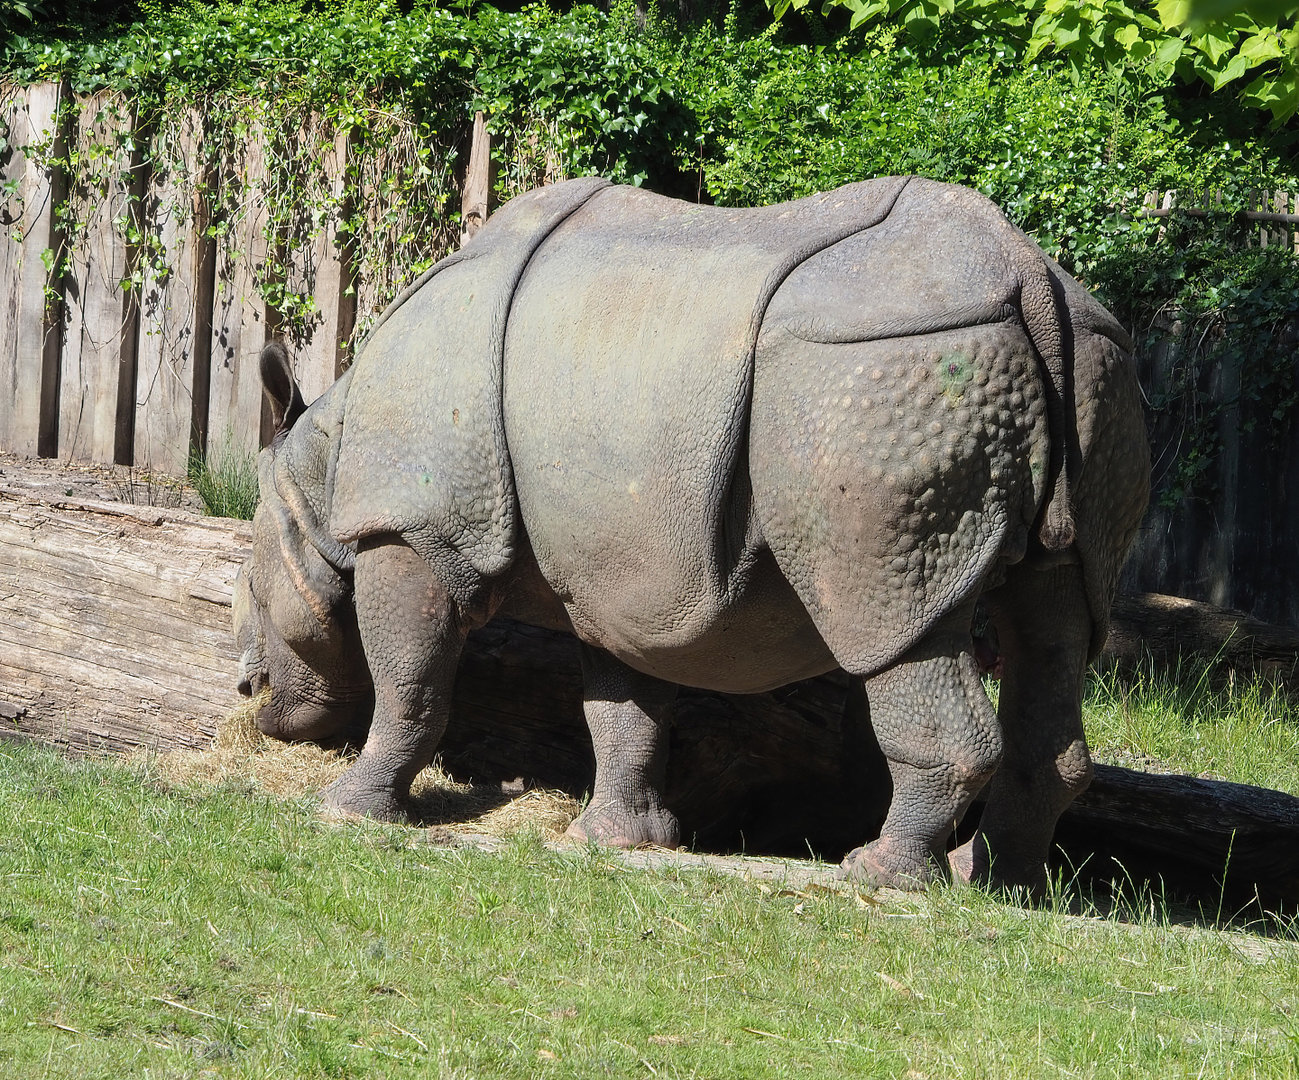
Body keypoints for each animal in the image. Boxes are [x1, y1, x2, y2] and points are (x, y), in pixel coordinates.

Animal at [234, 175, 1148, 892]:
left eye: (246, 586)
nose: (249, 694)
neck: (320, 472)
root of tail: (1029, 277)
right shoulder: (615, 569)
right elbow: (621, 704)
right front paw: (615, 840)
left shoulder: (417, 530)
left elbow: (411, 681)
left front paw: (347, 810)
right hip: (1092, 367)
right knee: (1057, 618)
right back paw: (993, 883)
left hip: (880, 380)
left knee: (894, 617)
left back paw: (880, 875)